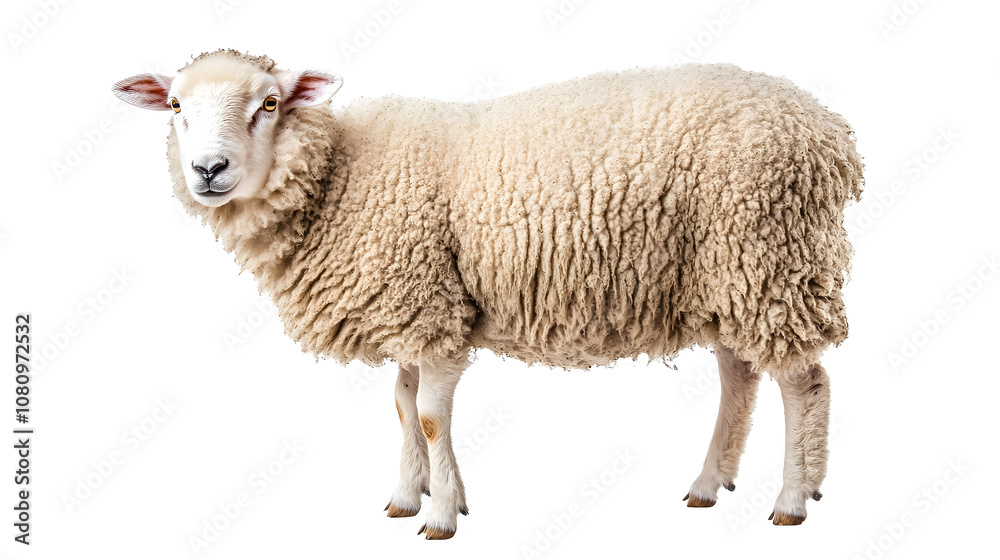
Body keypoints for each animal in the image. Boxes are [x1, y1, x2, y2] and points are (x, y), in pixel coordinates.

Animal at [113, 49, 863, 539]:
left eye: (269, 103)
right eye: (175, 105)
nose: (209, 170)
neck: (340, 180)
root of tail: (828, 133)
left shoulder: (429, 307)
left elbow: (430, 416)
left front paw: (442, 515)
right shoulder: (411, 304)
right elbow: (401, 405)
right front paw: (407, 497)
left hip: (768, 253)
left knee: (805, 381)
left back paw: (793, 498)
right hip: (725, 273)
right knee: (741, 373)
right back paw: (710, 484)